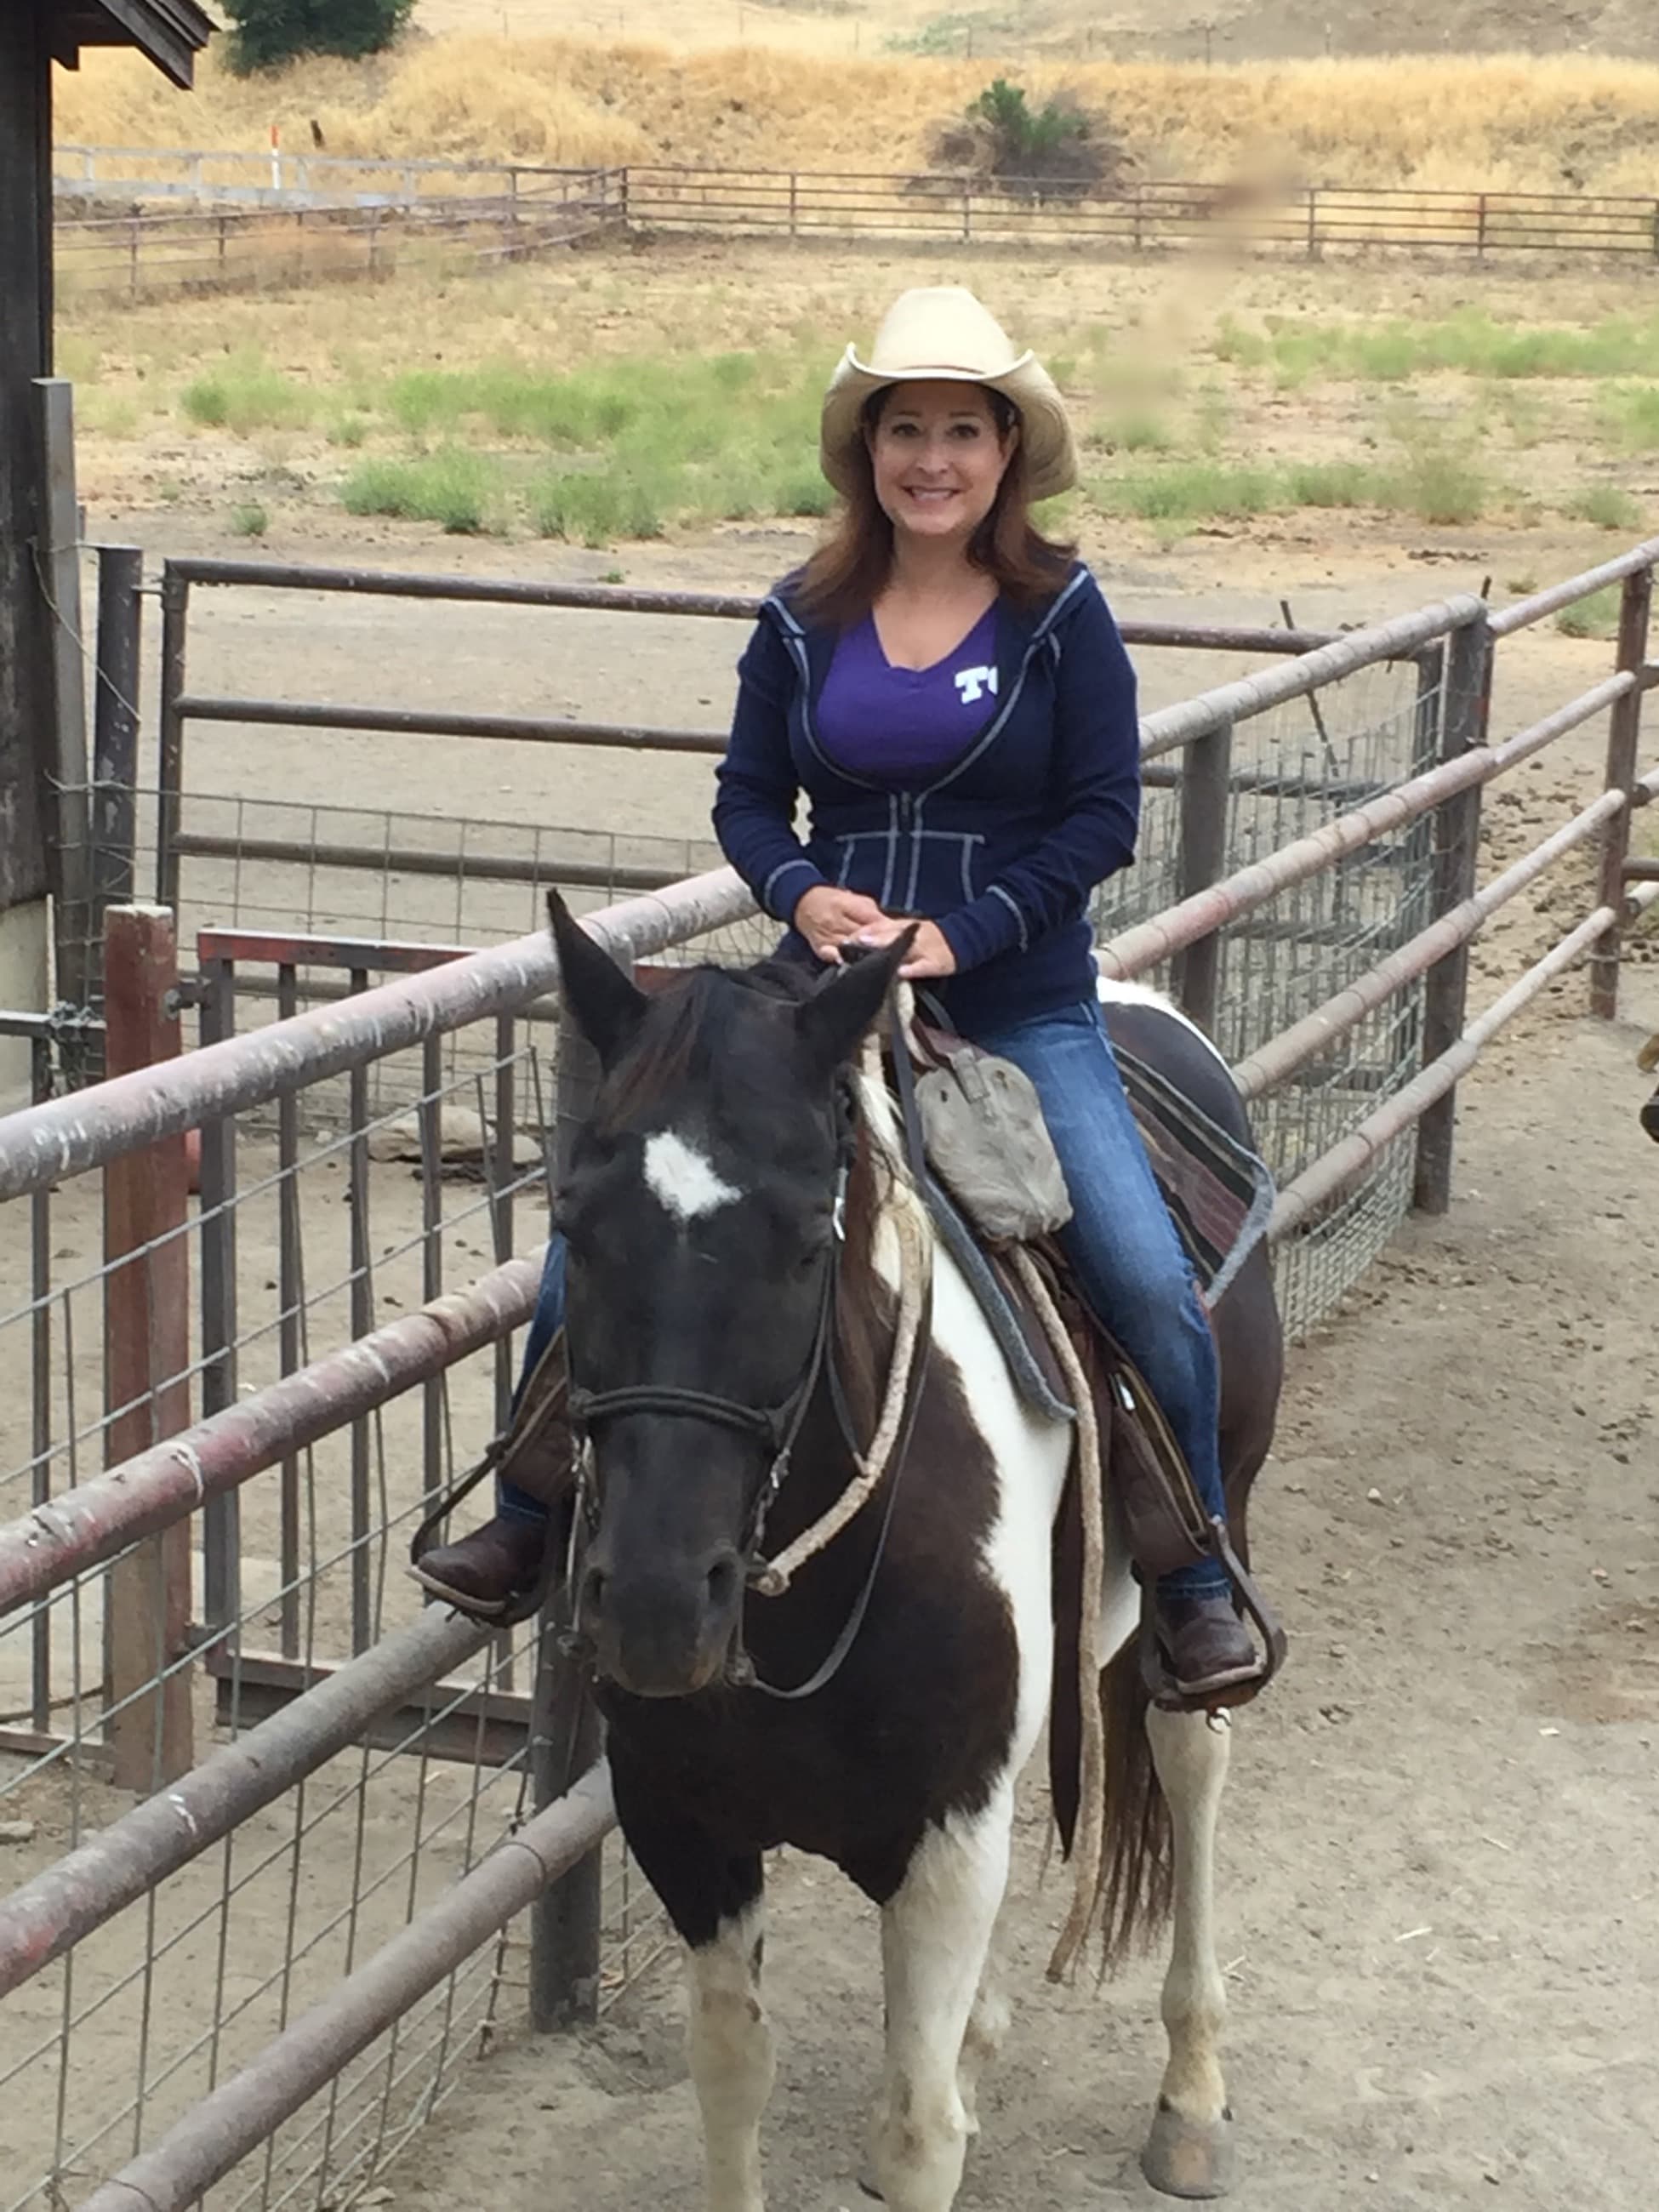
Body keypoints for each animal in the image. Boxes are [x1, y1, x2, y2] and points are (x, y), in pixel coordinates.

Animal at [547, 893, 1283, 2212]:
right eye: (575, 1228)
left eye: (804, 1238)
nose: (655, 1607)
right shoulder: (684, 1824)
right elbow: (731, 2073)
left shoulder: (945, 1837)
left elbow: (915, 2132)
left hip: (1214, 1537)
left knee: (1191, 1753)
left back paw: (1192, 2097)